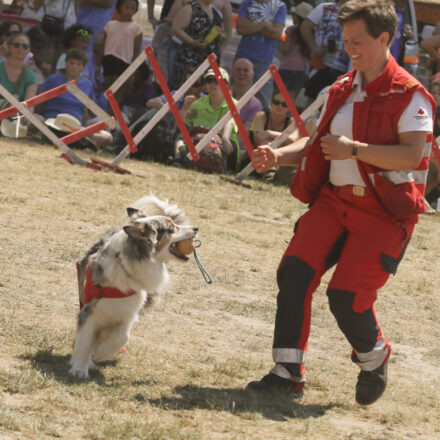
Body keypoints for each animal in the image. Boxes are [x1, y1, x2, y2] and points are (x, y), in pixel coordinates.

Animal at [69, 196, 198, 378]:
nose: (196, 228)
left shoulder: (128, 313)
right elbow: (85, 341)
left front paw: (99, 353)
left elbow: (122, 337)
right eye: (172, 227)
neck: (126, 265)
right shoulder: (90, 309)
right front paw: (79, 368)